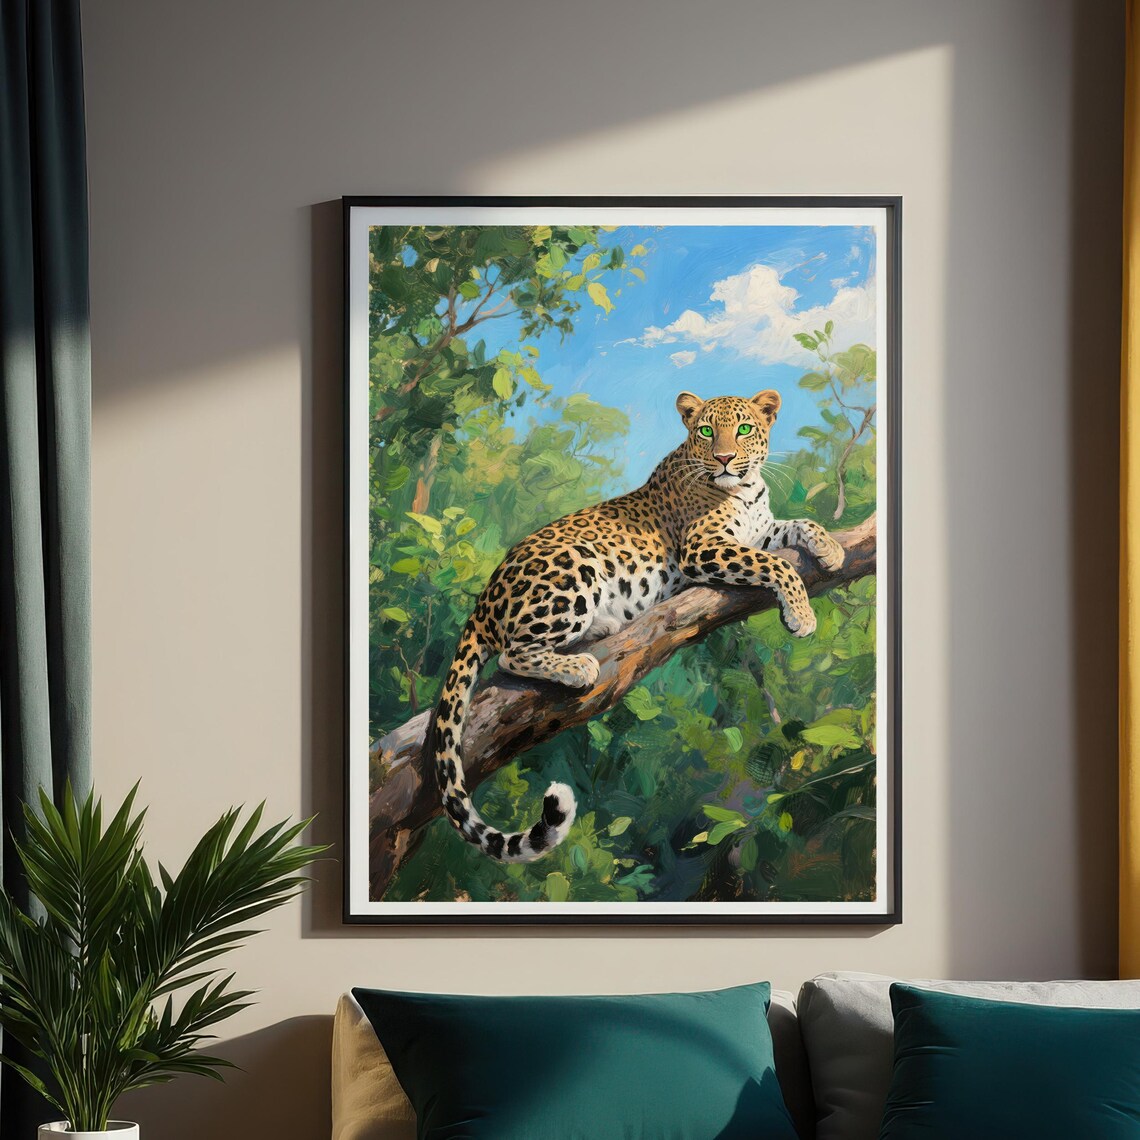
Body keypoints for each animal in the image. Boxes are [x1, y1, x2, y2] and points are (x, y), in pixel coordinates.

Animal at [429, 388, 845, 863]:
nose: (724, 458)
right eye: (706, 431)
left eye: (743, 429)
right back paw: (578, 666)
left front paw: (831, 549)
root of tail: (483, 601)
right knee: (511, 654)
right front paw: (802, 615)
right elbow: (777, 564)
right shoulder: (704, 547)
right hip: (574, 567)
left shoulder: (759, 532)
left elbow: (797, 525)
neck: (745, 489)